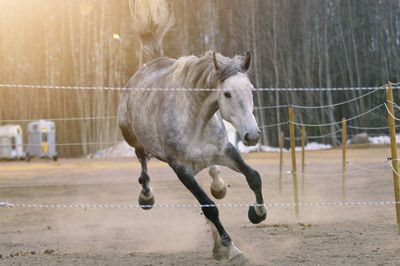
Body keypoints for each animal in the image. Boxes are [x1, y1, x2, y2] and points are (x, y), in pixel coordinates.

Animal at [120, 0, 268, 260]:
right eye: (227, 93)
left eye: (251, 89)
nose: (252, 135)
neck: (196, 122)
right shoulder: (182, 169)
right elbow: (208, 207)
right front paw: (231, 248)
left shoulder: (226, 150)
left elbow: (253, 177)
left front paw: (257, 213)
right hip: (132, 136)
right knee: (142, 159)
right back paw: (146, 197)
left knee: (212, 172)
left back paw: (218, 186)